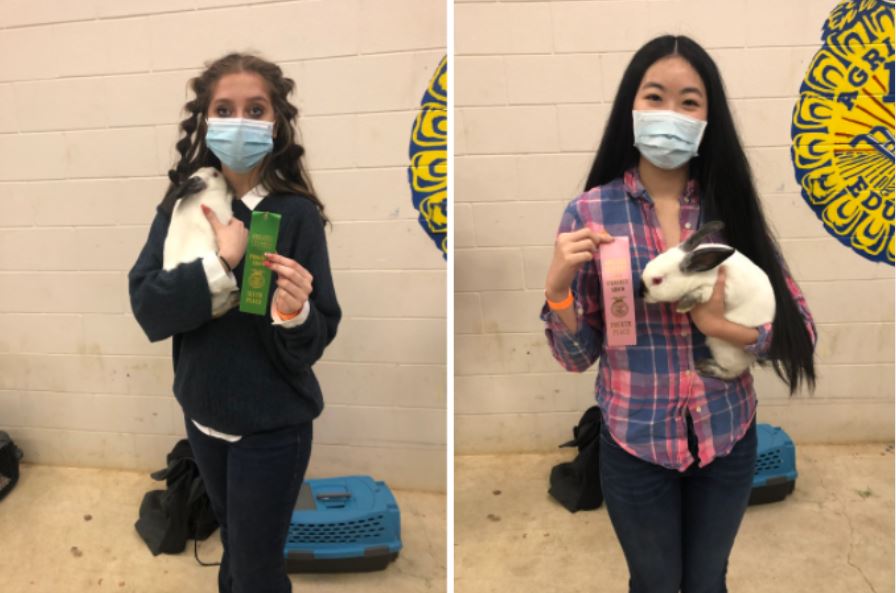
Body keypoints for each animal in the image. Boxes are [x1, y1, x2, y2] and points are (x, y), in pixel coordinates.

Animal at [636, 221, 776, 380]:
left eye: (657, 280)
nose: (640, 293)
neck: (697, 274)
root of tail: (751, 358)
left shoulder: (714, 289)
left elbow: (699, 294)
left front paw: (683, 306)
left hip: (722, 347)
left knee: (731, 372)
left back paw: (706, 367)